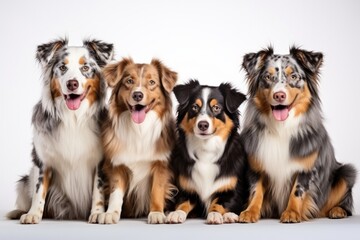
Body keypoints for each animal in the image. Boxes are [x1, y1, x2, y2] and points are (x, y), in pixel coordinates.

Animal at [7, 37, 114, 223]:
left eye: (85, 68)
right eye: (62, 67)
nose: (72, 84)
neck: (74, 118)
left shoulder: (100, 162)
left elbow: (98, 190)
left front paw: (97, 213)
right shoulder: (42, 160)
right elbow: (39, 189)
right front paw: (33, 214)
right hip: (24, 181)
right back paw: (18, 212)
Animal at [87, 57, 177, 224]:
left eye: (152, 82)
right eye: (129, 81)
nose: (137, 95)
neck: (139, 129)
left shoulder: (161, 164)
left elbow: (157, 189)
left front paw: (156, 213)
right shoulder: (116, 165)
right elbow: (116, 192)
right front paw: (111, 213)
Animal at [167, 79, 249, 224]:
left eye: (216, 108)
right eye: (194, 107)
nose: (203, 125)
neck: (206, 148)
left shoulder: (232, 191)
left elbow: (219, 203)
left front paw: (215, 214)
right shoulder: (186, 189)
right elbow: (182, 203)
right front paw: (176, 213)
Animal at [239, 47, 358, 223]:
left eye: (293, 76)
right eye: (267, 77)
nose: (279, 95)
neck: (281, 128)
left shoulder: (306, 167)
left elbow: (297, 191)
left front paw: (292, 212)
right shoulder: (257, 164)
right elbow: (256, 190)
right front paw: (250, 212)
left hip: (345, 173)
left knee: (345, 203)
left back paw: (337, 211)